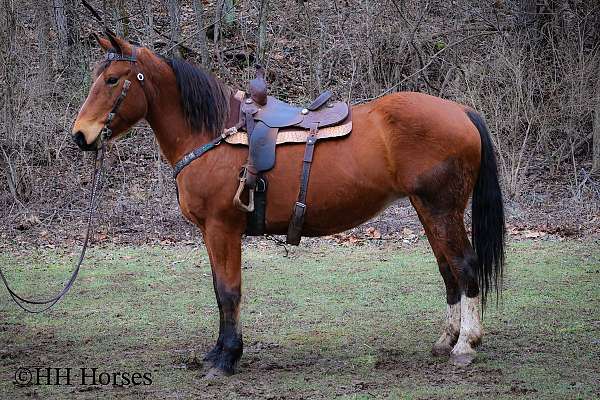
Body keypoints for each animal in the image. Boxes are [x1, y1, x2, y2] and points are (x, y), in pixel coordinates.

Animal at [74, 33, 506, 376]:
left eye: (112, 80)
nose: (81, 135)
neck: (213, 133)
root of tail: (460, 110)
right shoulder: (212, 234)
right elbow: (219, 290)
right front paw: (218, 352)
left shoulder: (222, 228)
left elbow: (228, 291)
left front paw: (227, 357)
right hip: (428, 209)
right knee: (448, 270)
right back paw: (446, 340)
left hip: (442, 209)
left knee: (465, 265)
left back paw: (466, 344)